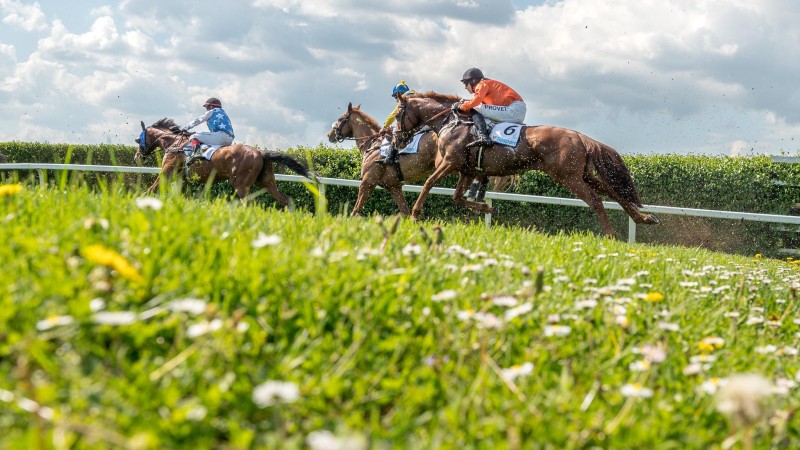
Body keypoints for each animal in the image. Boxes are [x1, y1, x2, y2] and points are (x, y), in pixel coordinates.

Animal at [134, 117, 310, 207]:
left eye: (137, 139)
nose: (136, 156)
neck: (175, 144)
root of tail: (261, 152)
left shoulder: (166, 171)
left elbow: (151, 189)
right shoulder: (182, 178)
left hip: (240, 184)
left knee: (250, 204)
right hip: (266, 181)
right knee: (285, 200)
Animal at [328, 103, 516, 215]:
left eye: (340, 119)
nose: (330, 134)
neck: (373, 143)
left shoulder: (367, 181)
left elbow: (356, 210)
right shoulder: (394, 187)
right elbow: (404, 212)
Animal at [396, 91, 664, 236]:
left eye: (398, 114)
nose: (398, 136)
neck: (453, 123)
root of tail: (580, 136)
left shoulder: (450, 163)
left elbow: (429, 183)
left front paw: (414, 215)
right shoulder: (467, 170)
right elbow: (458, 197)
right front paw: (490, 209)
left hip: (568, 177)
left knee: (596, 200)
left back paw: (610, 234)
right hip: (582, 174)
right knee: (612, 192)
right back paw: (644, 218)